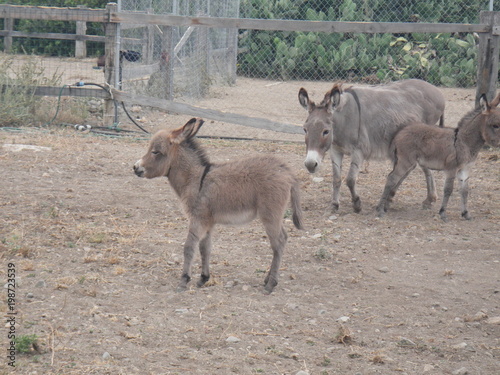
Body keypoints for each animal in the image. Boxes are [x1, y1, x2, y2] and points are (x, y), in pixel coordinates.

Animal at [134, 117, 304, 294]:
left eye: (155, 152)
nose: (135, 167)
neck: (195, 178)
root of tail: (287, 172)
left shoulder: (197, 219)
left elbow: (189, 248)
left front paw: (183, 280)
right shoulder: (208, 222)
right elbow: (205, 248)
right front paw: (203, 278)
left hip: (270, 215)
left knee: (278, 243)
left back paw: (270, 285)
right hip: (274, 216)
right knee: (283, 239)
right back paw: (267, 279)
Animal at [376, 94, 500, 222]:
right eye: (495, 125)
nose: (499, 145)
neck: (465, 141)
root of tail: (399, 133)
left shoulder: (464, 170)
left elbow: (465, 191)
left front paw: (466, 214)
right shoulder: (451, 169)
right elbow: (448, 189)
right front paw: (443, 213)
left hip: (406, 162)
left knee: (395, 178)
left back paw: (384, 207)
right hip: (405, 161)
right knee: (392, 178)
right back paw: (380, 210)